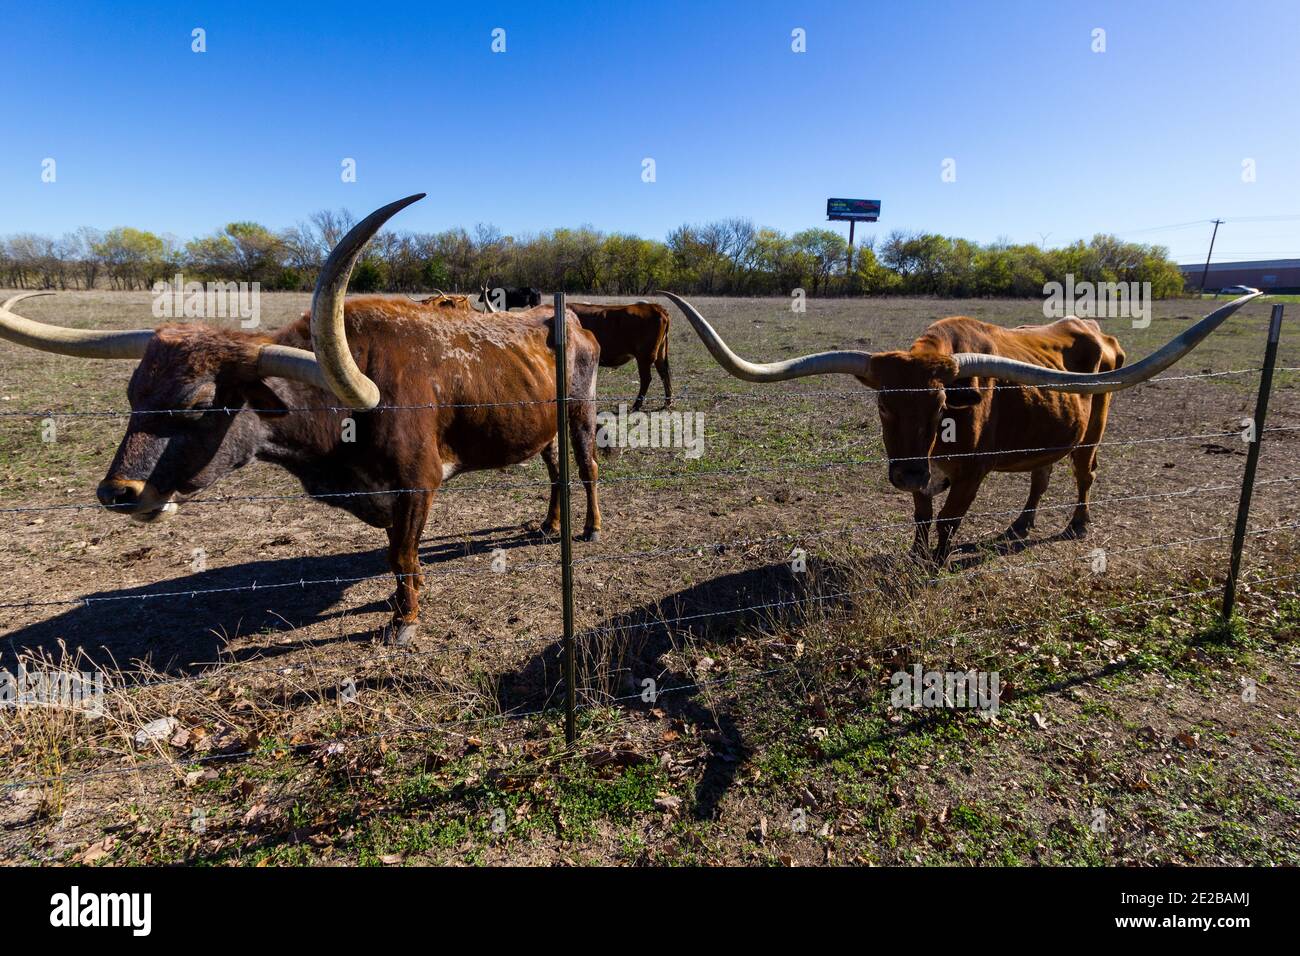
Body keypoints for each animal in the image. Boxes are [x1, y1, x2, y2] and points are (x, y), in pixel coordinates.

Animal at [0, 195, 603, 647]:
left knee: (588, 468)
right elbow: (395, 553)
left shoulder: (417, 485)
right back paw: (548, 524)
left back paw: (589, 528)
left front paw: (404, 620)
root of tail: (568, 318)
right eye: (132, 395)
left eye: (198, 403)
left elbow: (401, 551)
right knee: (554, 471)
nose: (117, 493)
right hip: (541, 427)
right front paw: (397, 599)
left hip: (579, 410)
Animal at [660, 287, 1258, 564]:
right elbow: (923, 519)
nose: (904, 472)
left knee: (1085, 475)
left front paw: (934, 566)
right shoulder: (925, 478)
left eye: (942, 406)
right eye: (883, 406)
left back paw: (1079, 524)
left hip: (1094, 428)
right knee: (1040, 476)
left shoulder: (970, 475)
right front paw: (913, 557)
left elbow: (948, 523)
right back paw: (1020, 525)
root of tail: (1096, 329)